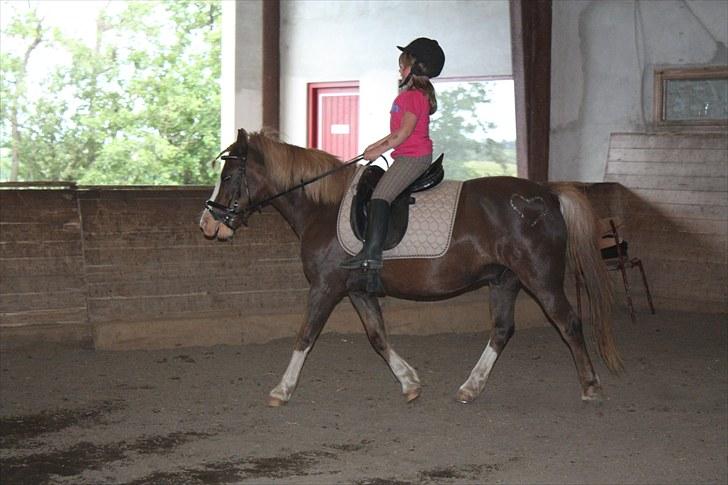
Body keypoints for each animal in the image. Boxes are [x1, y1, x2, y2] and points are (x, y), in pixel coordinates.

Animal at [199, 127, 620, 404]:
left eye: (229, 175)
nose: (207, 223)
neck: (324, 208)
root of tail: (546, 194)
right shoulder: (356, 290)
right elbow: (377, 337)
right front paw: (410, 382)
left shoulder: (325, 287)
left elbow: (305, 336)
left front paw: (281, 390)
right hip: (505, 281)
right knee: (502, 331)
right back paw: (470, 388)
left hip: (541, 278)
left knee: (568, 323)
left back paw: (590, 385)